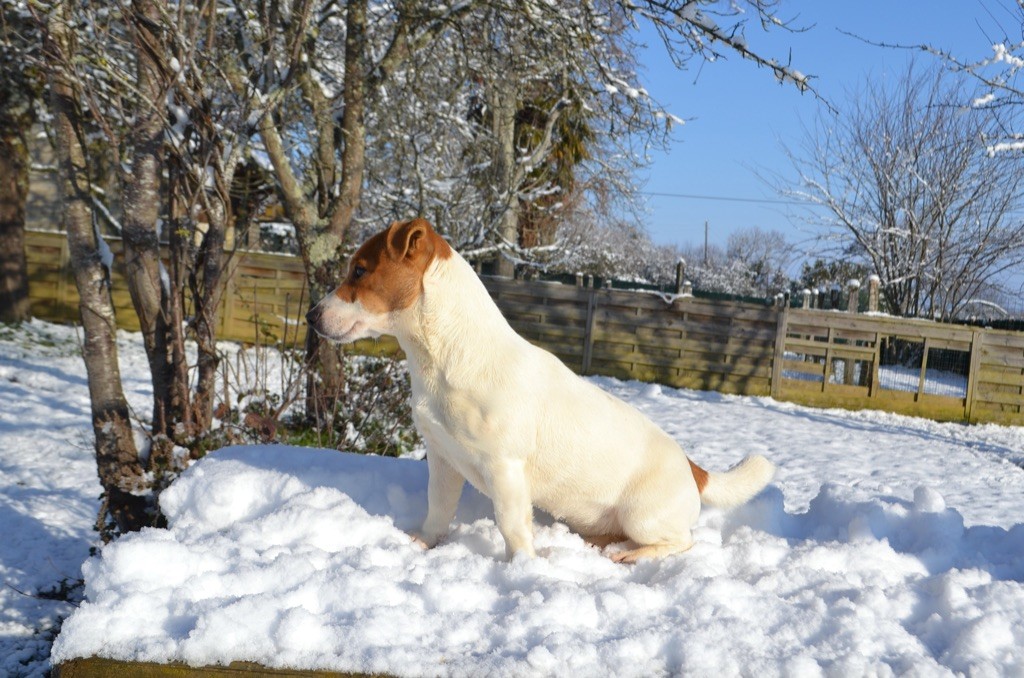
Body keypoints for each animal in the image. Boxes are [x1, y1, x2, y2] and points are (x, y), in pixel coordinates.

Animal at [307, 220, 770, 565]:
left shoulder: (505, 469)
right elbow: (438, 511)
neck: (443, 358)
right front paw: (422, 543)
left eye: (360, 271)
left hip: (643, 517)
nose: (311, 315)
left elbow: (512, 528)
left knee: (682, 542)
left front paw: (524, 569)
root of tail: (694, 468)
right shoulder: (442, 459)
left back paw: (630, 555)